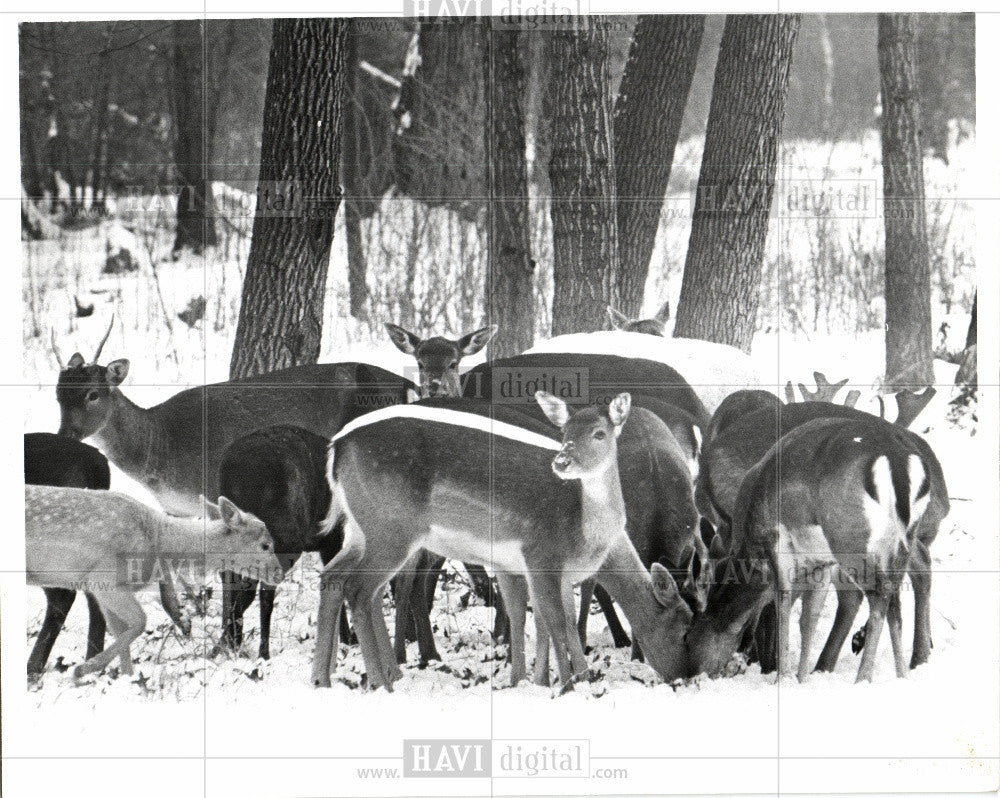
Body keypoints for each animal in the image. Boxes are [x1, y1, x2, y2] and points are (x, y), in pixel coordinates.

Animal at [25, 484, 282, 684]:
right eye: (265, 545)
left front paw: (128, 679)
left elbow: (121, 629)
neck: (160, 542)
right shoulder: (103, 577)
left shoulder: (104, 587)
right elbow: (140, 621)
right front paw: (82, 670)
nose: (279, 573)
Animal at [50, 318, 416, 656]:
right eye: (58, 393)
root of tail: (408, 384)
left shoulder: (213, 492)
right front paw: (191, 621)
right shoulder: (177, 508)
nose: (63, 435)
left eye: (92, 393)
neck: (160, 447)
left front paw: (225, 637)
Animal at [312, 396, 696, 692]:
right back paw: (382, 682)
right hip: (391, 528)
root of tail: (335, 447)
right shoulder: (541, 556)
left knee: (333, 577)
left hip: (359, 531)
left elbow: (535, 616)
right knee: (361, 590)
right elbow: (555, 621)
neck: (597, 545)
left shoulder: (520, 567)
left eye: (600, 434)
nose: (686, 675)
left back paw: (324, 678)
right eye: (683, 627)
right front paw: (571, 683)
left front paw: (530, 680)